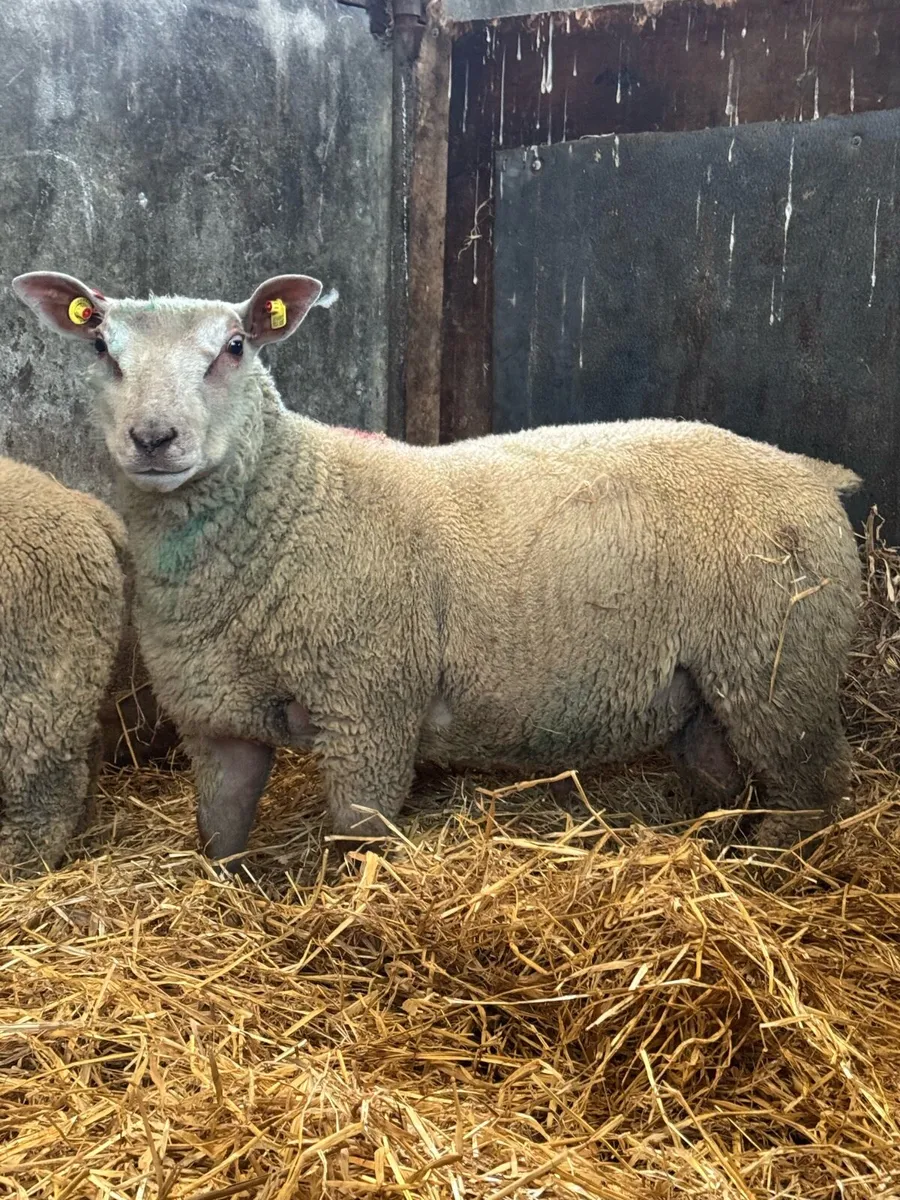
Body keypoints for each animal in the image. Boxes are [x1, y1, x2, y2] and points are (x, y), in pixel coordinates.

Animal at [13, 270, 862, 867]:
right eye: (101, 349)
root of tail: (810, 471)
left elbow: (360, 833)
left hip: (781, 671)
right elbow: (219, 836)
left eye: (234, 347)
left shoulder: (371, 706)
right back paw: (717, 844)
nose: (154, 438)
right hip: (706, 692)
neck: (295, 500)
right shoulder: (216, 718)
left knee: (814, 792)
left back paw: (767, 868)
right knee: (728, 775)